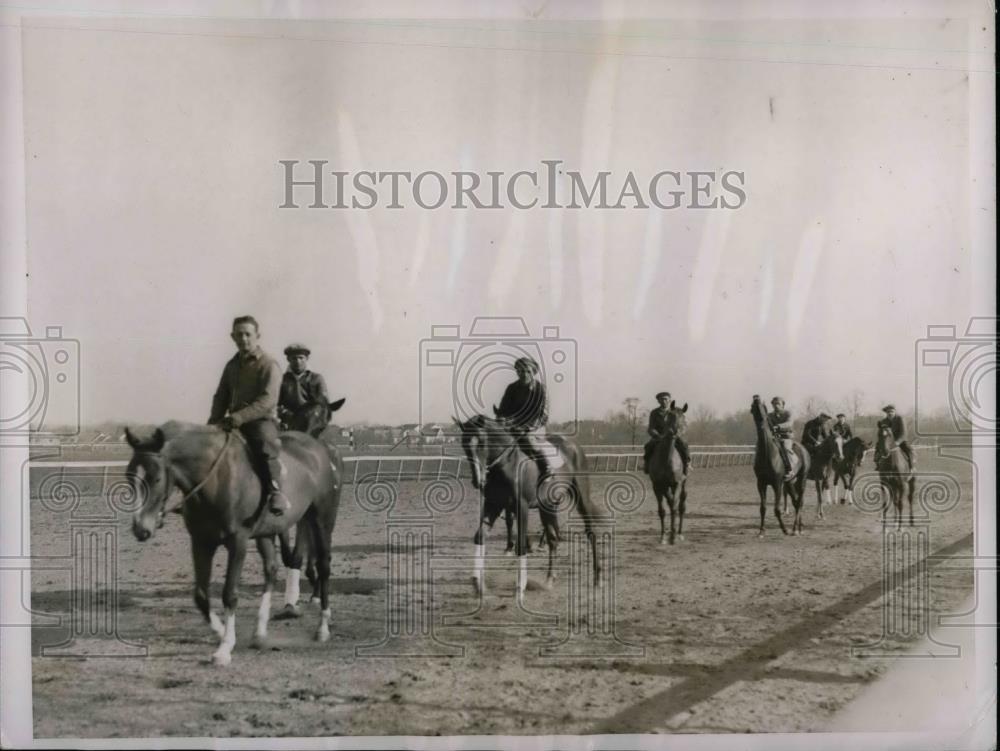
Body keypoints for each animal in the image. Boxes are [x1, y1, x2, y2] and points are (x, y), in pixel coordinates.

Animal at [127, 420, 344, 668]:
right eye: (129, 476)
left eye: (155, 478)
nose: (141, 529)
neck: (215, 480)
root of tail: (320, 449)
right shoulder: (200, 542)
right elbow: (201, 596)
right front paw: (222, 632)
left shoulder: (237, 542)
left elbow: (229, 594)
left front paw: (224, 649)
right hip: (267, 533)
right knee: (271, 570)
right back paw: (259, 633)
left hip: (321, 520)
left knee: (324, 567)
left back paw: (323, 628)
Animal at [454, 414, 600, 604]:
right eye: (464, 445)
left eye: (482, 443)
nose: (478, 481)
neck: (507, 464)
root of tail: (573, 445)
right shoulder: (493, 505)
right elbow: (480, 536)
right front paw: (478, 584)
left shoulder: (521, 507)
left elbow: (521, 545)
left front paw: (520, 587)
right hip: (548, 505)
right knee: (553, 538)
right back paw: (549, 580)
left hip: (581, 496)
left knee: (590, 531)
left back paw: (597, 579)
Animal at [648, 400, 688, 548]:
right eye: (670, 416)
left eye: (683, 417)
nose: (675, 432)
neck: (666, 459)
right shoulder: (657, 485)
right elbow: (662, 510)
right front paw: (663, 536)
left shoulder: (677, 484)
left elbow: (675, 507)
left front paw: (673, 537)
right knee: (671, 503)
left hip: (684, 483)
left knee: (681, 506)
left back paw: (679, 533)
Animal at [752, 396, 812, 536]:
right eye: (752, 405)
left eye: (762, 405)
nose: (756, 397)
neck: (767, 454)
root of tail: (803, 449)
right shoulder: (761, 483)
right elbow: (762, 508)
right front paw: (761, 531)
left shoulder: (777, 483)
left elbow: (777, 509)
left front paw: (785, 529)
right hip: (790, 483)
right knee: (796, 502)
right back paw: (799, 527)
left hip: (802, 480)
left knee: (799, 502)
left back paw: (795, 529)